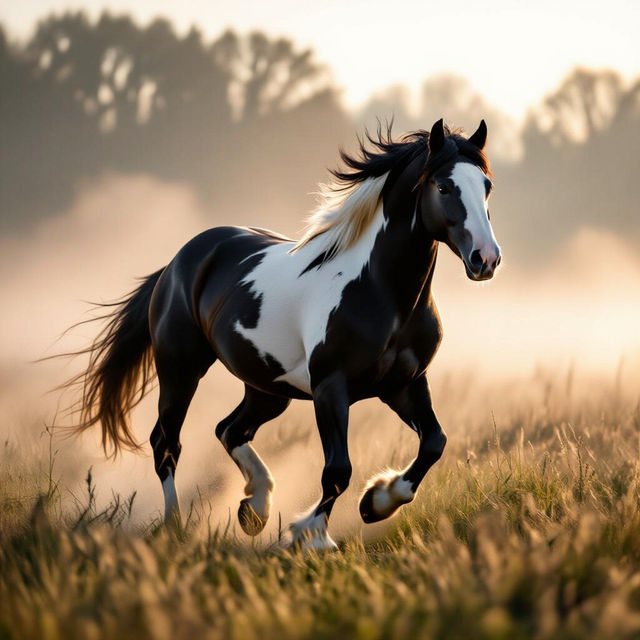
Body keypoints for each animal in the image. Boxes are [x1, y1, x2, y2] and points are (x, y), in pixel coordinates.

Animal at [68, 118, 501, 550]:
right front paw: (311, 536)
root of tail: (178, 262)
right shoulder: (331, 388)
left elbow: (434, 443)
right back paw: (177, 527)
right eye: (443, 187)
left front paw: (377, 502)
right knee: (166, 444)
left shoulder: (405, 384)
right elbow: (338, 469)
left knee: (229, 429)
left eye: (486, 186)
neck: (384, 294)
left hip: (268, 388)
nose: (486, 259)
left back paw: (254, 508)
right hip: (181, 370)